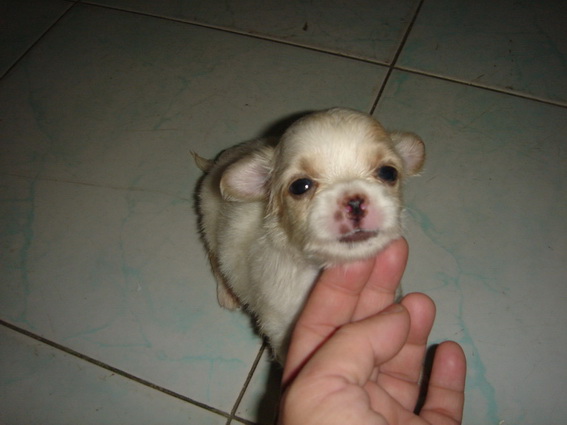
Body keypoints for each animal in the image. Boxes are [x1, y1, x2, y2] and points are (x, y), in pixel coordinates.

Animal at [193, 108, 425, 362]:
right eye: (300, 186)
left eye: (388, 173)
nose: (355, 201)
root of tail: (217, 163)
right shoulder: (283, 329)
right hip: (211, 223)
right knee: (215, 260)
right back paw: (227, 293)